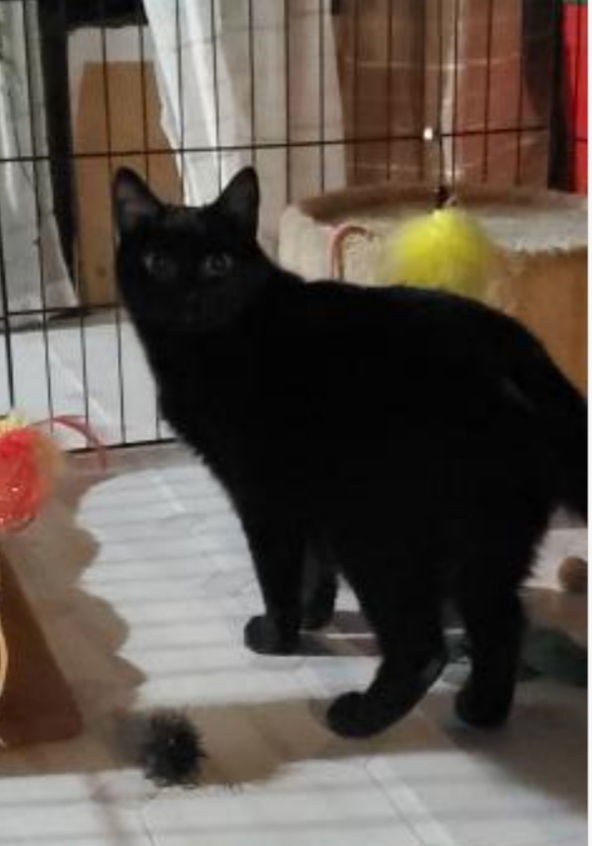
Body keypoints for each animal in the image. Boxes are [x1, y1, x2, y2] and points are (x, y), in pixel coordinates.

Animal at [113, 166, 584, 736]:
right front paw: (316, 615)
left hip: (376, 528)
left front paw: (279, 635)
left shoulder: (265, 496)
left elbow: (278, 572)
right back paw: (480, 712)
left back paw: (361, 715)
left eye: (216, 264)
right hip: (488, 532)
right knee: (503, 620)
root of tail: (522, 360)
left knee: (423, 645)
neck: (206, 347)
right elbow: (315, 563)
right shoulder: (309, 490)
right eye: (157, 263)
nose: (186, 296)